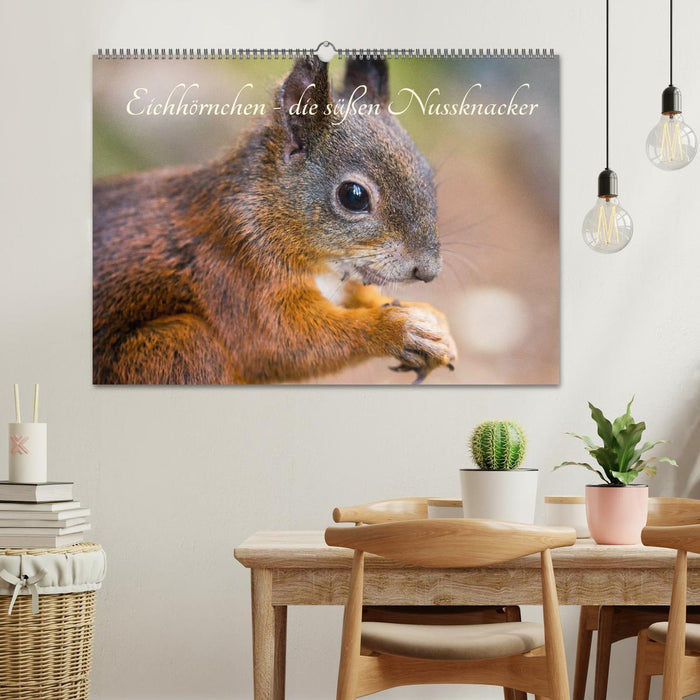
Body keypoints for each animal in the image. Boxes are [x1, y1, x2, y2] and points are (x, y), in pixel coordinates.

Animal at [93, 57, 457, 384]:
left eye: (427, 171)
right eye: (353, 196)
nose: (428, 271)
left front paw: (432, 322)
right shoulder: (237, 271)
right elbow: (282, 343)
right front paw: (396, 328)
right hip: (181, 347)